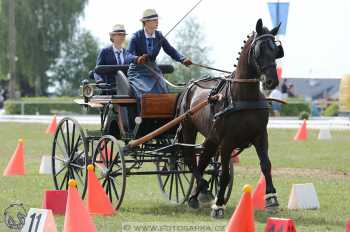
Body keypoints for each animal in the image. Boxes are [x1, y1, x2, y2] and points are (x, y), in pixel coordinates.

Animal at [178, 19, 284, 218]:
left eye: (276, 50)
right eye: (259, 50)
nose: (271, 81)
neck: (244, 96)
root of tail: (190, 85)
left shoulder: (261, 135)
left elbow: (266, 165)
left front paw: (271, 198)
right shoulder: (227, 141)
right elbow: (225, 174)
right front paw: (218, 205)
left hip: (211, 137)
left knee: (203, 160)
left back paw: (198, 195)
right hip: (189, 129)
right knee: (190, 158)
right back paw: (203, 189)